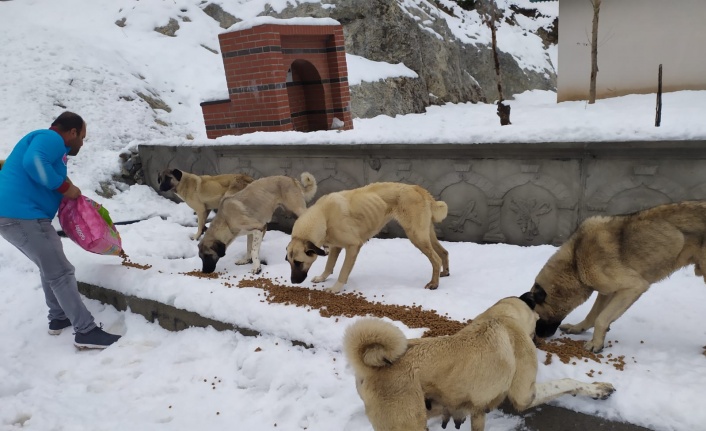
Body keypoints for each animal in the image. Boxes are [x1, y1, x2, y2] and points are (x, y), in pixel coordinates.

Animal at [284, 182, 446, 294]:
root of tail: (417, 188)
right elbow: (329, 265)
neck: (323, 215)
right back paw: (445, 272)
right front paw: (322, 278)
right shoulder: (336, 246)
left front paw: (336, 288)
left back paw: (434, 283)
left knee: (436, 259)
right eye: (289, 262)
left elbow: (343, 271)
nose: (293, 282)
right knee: (444, 252)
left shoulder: (353, 246)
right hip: (425, 234)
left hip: (416, 236)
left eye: (298, 262)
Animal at [344, 296, 612, 431]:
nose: (542, 337)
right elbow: (567, 382)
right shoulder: (525, 395)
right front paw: (598, 389)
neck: (501, 317)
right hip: (409, 424)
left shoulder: (477, 410)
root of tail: (367, 368)